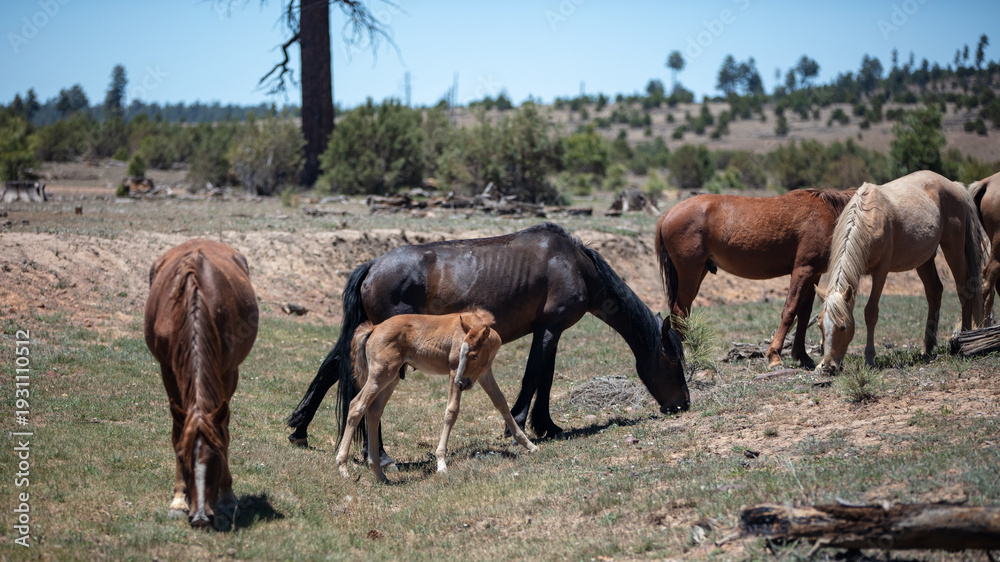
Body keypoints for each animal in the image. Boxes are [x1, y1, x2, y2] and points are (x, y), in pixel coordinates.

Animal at [144, 239, 259, 528]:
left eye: (217, 456)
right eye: (182, 458)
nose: (200, 517)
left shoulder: (227, 372)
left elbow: (224, 430)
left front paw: (227, 497)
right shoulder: (168, 371)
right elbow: (177, 430)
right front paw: (178, 499)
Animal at [287, 223, 688, 465]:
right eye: (673, 360)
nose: (683, 404)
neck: (574, 264)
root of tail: (371, 266)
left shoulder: (551, 331)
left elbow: (545, 379)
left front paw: (547, 426)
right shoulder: (548, 330)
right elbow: (533, 377)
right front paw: (519, 427)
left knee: (332, 370)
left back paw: (299, 429)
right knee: (362, 394)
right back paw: (380, 455)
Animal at [337, 310, 537, 482]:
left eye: (474, 356)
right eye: (461, 354)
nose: (460, 383)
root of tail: (375, 328)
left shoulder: (483, 373)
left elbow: (501, 402)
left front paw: (529, 444)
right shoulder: (453, 371)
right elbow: (452, 411)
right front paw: (441, 463)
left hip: (392, 377)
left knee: (374, 410)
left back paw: (379, 472)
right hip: (380, 375)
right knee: (357, 405)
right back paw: (343, 467)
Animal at [655, 188, 856, 369]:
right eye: (842, 326)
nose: (833, 365)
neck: (828, 213)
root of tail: (668, 214)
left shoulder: (814, 274)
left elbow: (804, 313)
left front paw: (802, 357)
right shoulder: (803, 270)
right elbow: (790, 310)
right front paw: (774, 356)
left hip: (698, 271)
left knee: (681, 311)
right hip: (690, 271)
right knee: (680, 311)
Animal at [817, 170, 988, 375]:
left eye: (843, 327)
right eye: (820, 326)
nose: (828, 366)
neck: (869, 218)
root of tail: (954, 185)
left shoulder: (881, 272)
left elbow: (871, 312)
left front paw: (869, 358)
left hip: (953, 248)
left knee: (964, 288)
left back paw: (963, 337)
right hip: (924, 259)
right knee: (934, 291)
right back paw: (927, 347)